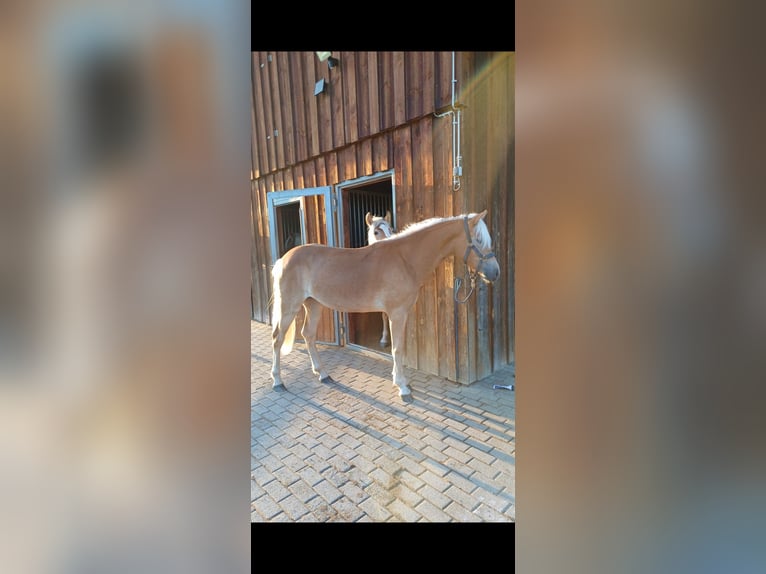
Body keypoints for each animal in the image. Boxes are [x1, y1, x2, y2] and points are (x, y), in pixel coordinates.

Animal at [272, 209, 504, 402]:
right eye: (478, 239)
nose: (495, 272)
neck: (405, 260)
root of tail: (284, 258)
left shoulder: (403, 313)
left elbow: (400, 347)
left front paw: (401, 381)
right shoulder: (396, 313)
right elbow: (397, 349)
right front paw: (403, 387)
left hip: (314, 305)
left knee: (308, 335)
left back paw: (323, 374)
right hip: (289, 307)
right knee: (277, 339)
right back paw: (278, 382)